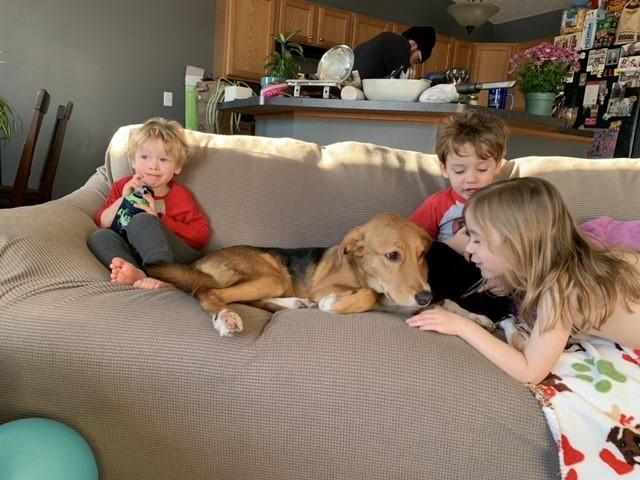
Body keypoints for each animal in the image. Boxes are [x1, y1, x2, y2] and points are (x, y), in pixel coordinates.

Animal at [148, 212, 436, 336]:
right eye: (393, 255)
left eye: (422, 254)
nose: (426, 298)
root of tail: (199, 262)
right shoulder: (324, 287)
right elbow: (366, 295)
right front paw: (331, 304)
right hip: (271, 277)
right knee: (209, 293)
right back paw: (226, 318)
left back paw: (296, 303)